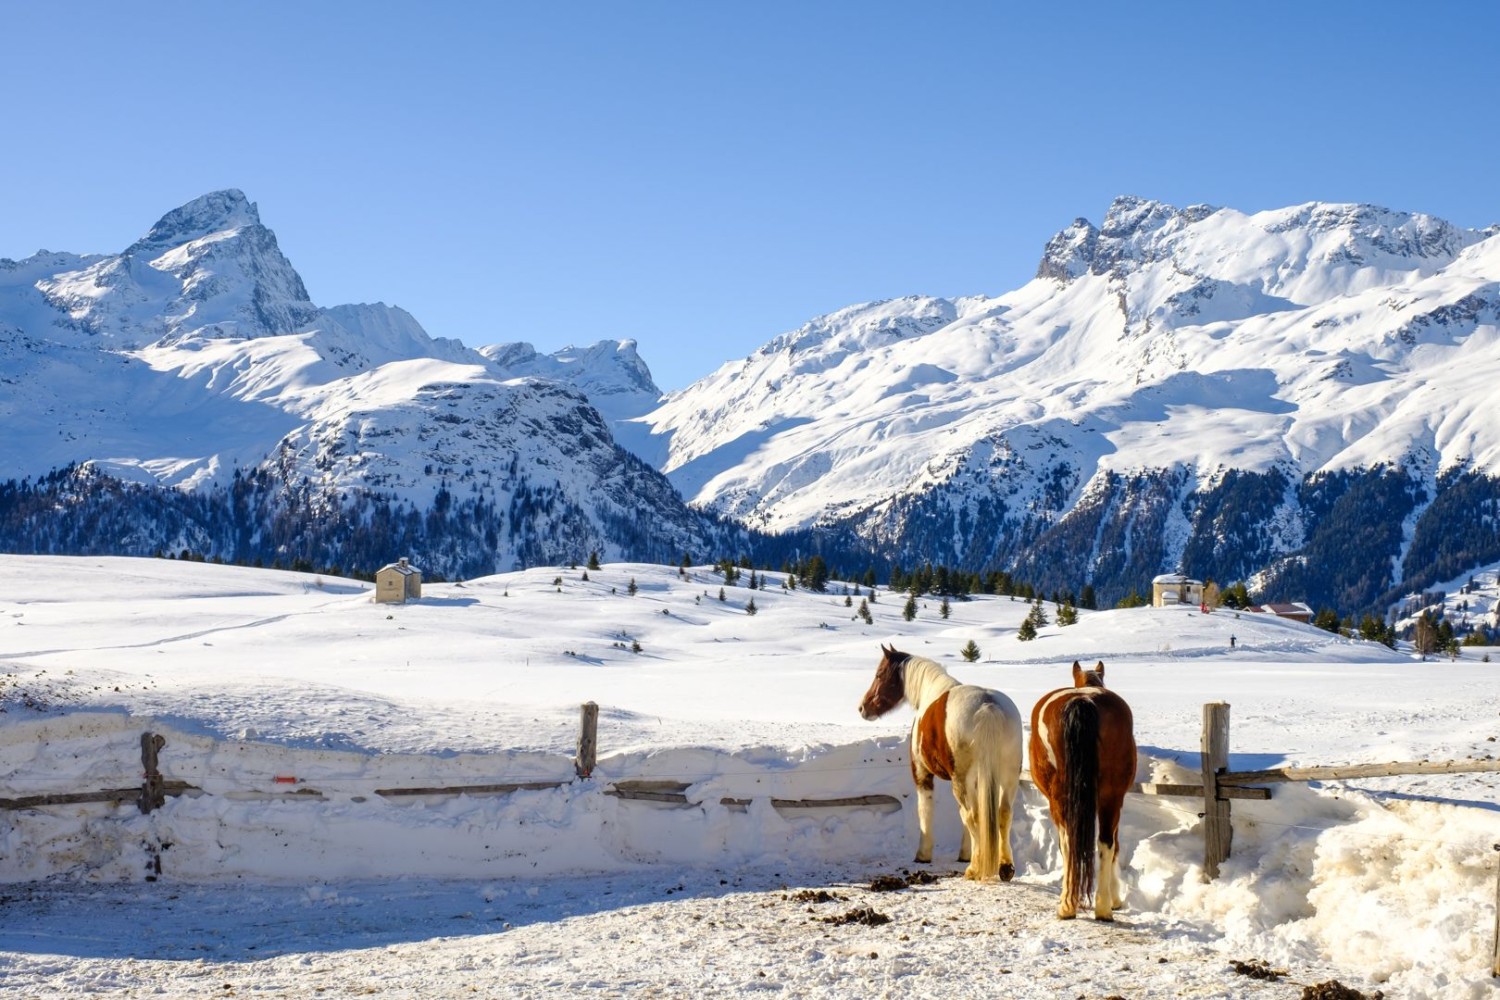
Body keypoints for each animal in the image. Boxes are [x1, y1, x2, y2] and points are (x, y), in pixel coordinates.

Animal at [864, 644, 1026, 881]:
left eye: (879, 674)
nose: (863, 707)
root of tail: (988, 706)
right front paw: (965, 854)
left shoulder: (922, 773)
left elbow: (925, 810)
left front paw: (923, 854)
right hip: (1008, 776)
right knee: (1002, 813)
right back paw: (1004, 867)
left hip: (961, 781)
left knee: (971, 815)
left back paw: (974, 870)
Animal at [1032, 659, 1134, 917]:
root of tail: (1083, 700)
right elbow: (1114, 844)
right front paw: (1115, 899)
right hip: (1111, 795)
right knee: (1106, 842)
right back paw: (1103, 908)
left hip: (1061, 797)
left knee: (1069, 840)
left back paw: (1068, 906)